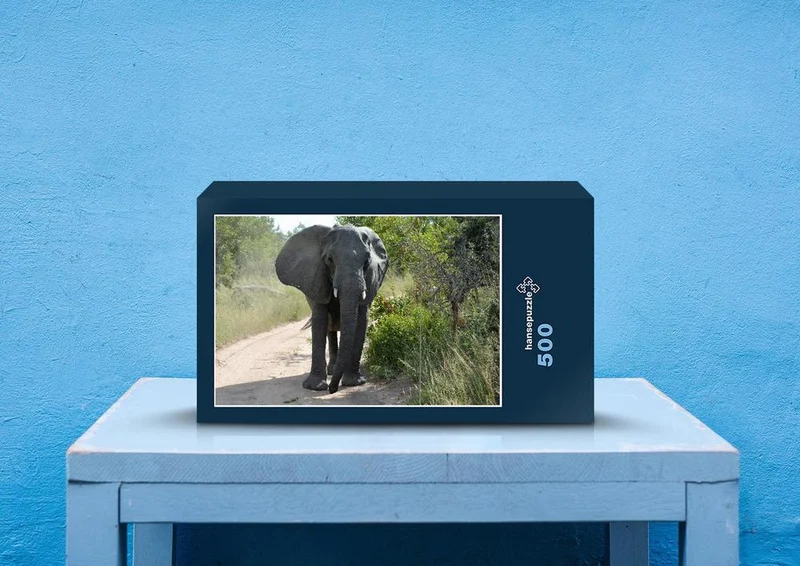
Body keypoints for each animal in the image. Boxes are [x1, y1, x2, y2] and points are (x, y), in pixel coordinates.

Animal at [275, 224, 389, 394]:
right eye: (329, 260)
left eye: (367, 261)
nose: (332, 389)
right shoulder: (316, 280)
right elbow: (320, 321)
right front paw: (315, 387)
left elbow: (361, 321)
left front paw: (354, 383)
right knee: (330, 329)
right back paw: (332, 371)